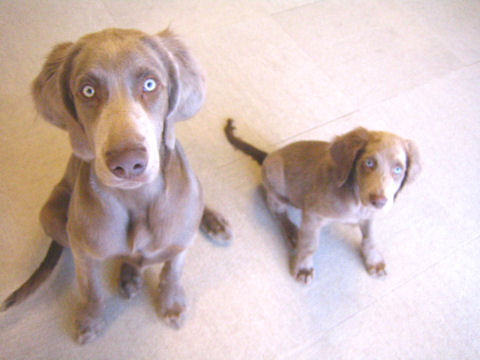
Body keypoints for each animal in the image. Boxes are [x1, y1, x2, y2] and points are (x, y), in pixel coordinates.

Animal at [0, 28, 232, 344]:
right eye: (87, 90)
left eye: (150, 84)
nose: (128, 163)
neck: (136, 199)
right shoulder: (84, 251)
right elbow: (91, 289)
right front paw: (90, 319)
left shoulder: (181, 239)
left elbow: (172, 271)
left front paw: (171, 304)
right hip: (50, 214)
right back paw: (129, 275)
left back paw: (213, 222)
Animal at [225, 119, 420, 286]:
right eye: (369, 162)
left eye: (398, 169)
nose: (379, 201)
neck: (356, 200)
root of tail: (268, 155)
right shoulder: (313, 215)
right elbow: (310, 244)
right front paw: (304, 268)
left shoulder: (369, 216)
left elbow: (370, 238)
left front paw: (374, 261)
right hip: (275, 182)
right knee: (277, 210)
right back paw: (291, 232)